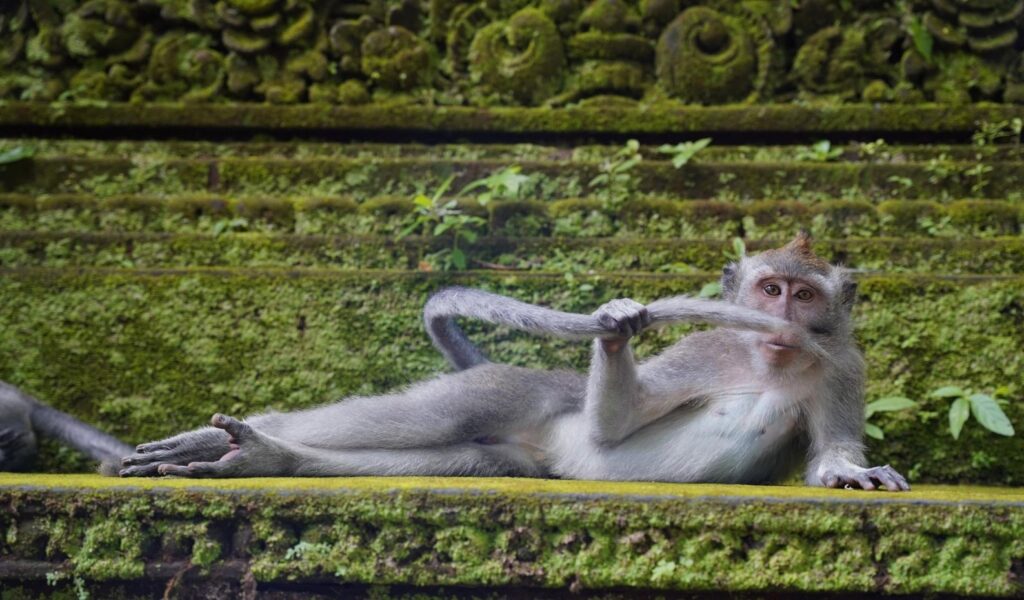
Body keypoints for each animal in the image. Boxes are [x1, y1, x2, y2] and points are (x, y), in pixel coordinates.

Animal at [4, 234, 913, 491]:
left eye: (803, 293)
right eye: (768, 288)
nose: (782, 320)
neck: (768, 360)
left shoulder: (843, 366)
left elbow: (833, 448)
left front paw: (849, 471)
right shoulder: (706, 349)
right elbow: (616, 429)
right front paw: (619, 323)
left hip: (514, 453)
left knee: (456, 453)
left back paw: (264, 457)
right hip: (510, 389)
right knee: (428, 416)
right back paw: (230, 439)